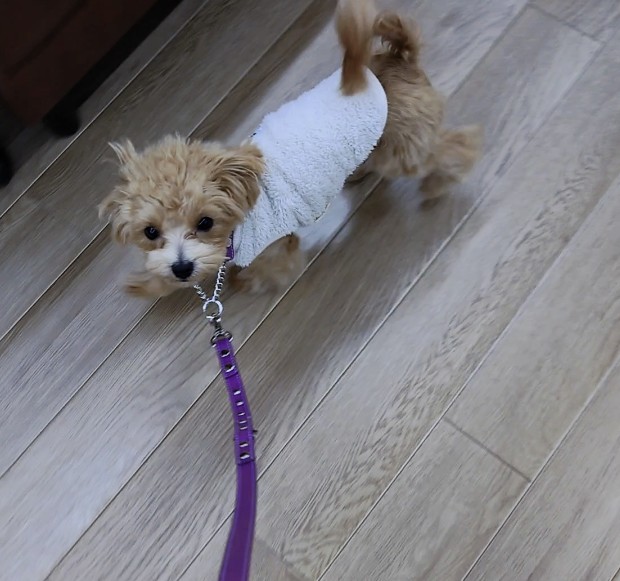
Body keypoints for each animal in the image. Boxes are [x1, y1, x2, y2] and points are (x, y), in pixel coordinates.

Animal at [99, 0, 481, 298]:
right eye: (150, 232)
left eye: (205, 222)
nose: (181, 267)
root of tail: (399, 58)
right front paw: (148, 284)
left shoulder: (272, 248)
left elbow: (267, 268)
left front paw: (242, 282)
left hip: (403, 148)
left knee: (453, 147)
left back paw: (441, 181)